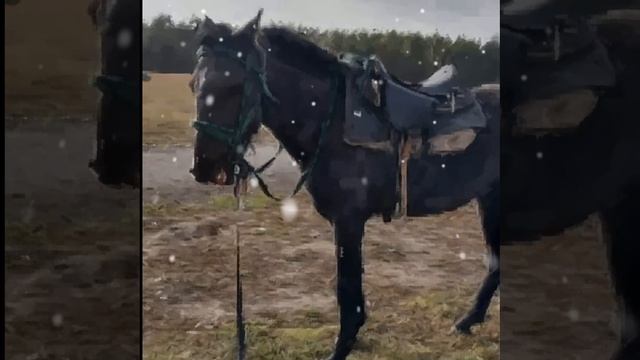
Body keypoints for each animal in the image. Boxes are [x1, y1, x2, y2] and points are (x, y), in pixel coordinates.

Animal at [189, 11, 500, 360]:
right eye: (193, 85)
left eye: (234, 86)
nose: (205, 167)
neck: (332, 120)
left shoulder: (349, 221)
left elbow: (347, 293)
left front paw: (341, 347)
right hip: (490, 199)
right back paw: (468, 320)